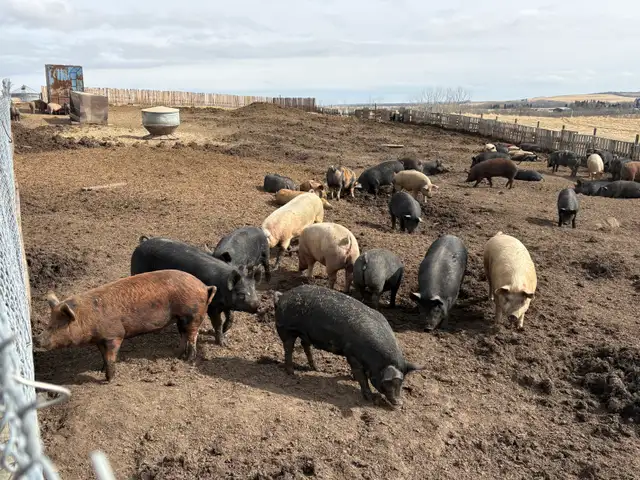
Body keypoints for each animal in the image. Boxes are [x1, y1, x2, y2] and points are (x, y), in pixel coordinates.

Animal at [38, 270, 216, 382]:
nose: (37, 339)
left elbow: (111, 356)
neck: (87, 318)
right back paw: (177, 355)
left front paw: (109, 379)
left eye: (56, 326)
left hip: (193, 314)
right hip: (181, 318)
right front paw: (99, 370)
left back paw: (188, 360)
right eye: (49, 323)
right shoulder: (100, 339)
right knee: (183, 335)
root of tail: (204, 287)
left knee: (192, 336)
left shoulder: (114, 335)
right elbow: (103, 355)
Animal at [130, 236, 261, 346]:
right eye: (241, 294)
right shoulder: (212, 306)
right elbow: (217, 323)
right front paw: (223, 344)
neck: (223, 286)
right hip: (136, 271)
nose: (258, 305)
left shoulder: (227, 304)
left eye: (254, 290)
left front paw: (225, 332)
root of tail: (142, 243)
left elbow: (231, 317)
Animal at [274, 284, 421, 405]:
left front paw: (351, 378)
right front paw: (369, 398)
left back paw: (317, 368)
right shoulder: (352, 355)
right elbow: (361, 375)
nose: (399, 403)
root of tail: (281, 296)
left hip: (305, 334)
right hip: (286, 328)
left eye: (401, 382)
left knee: (305, 345)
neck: (375, 360)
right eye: (389, 382)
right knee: (288, 347)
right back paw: (292, 373)